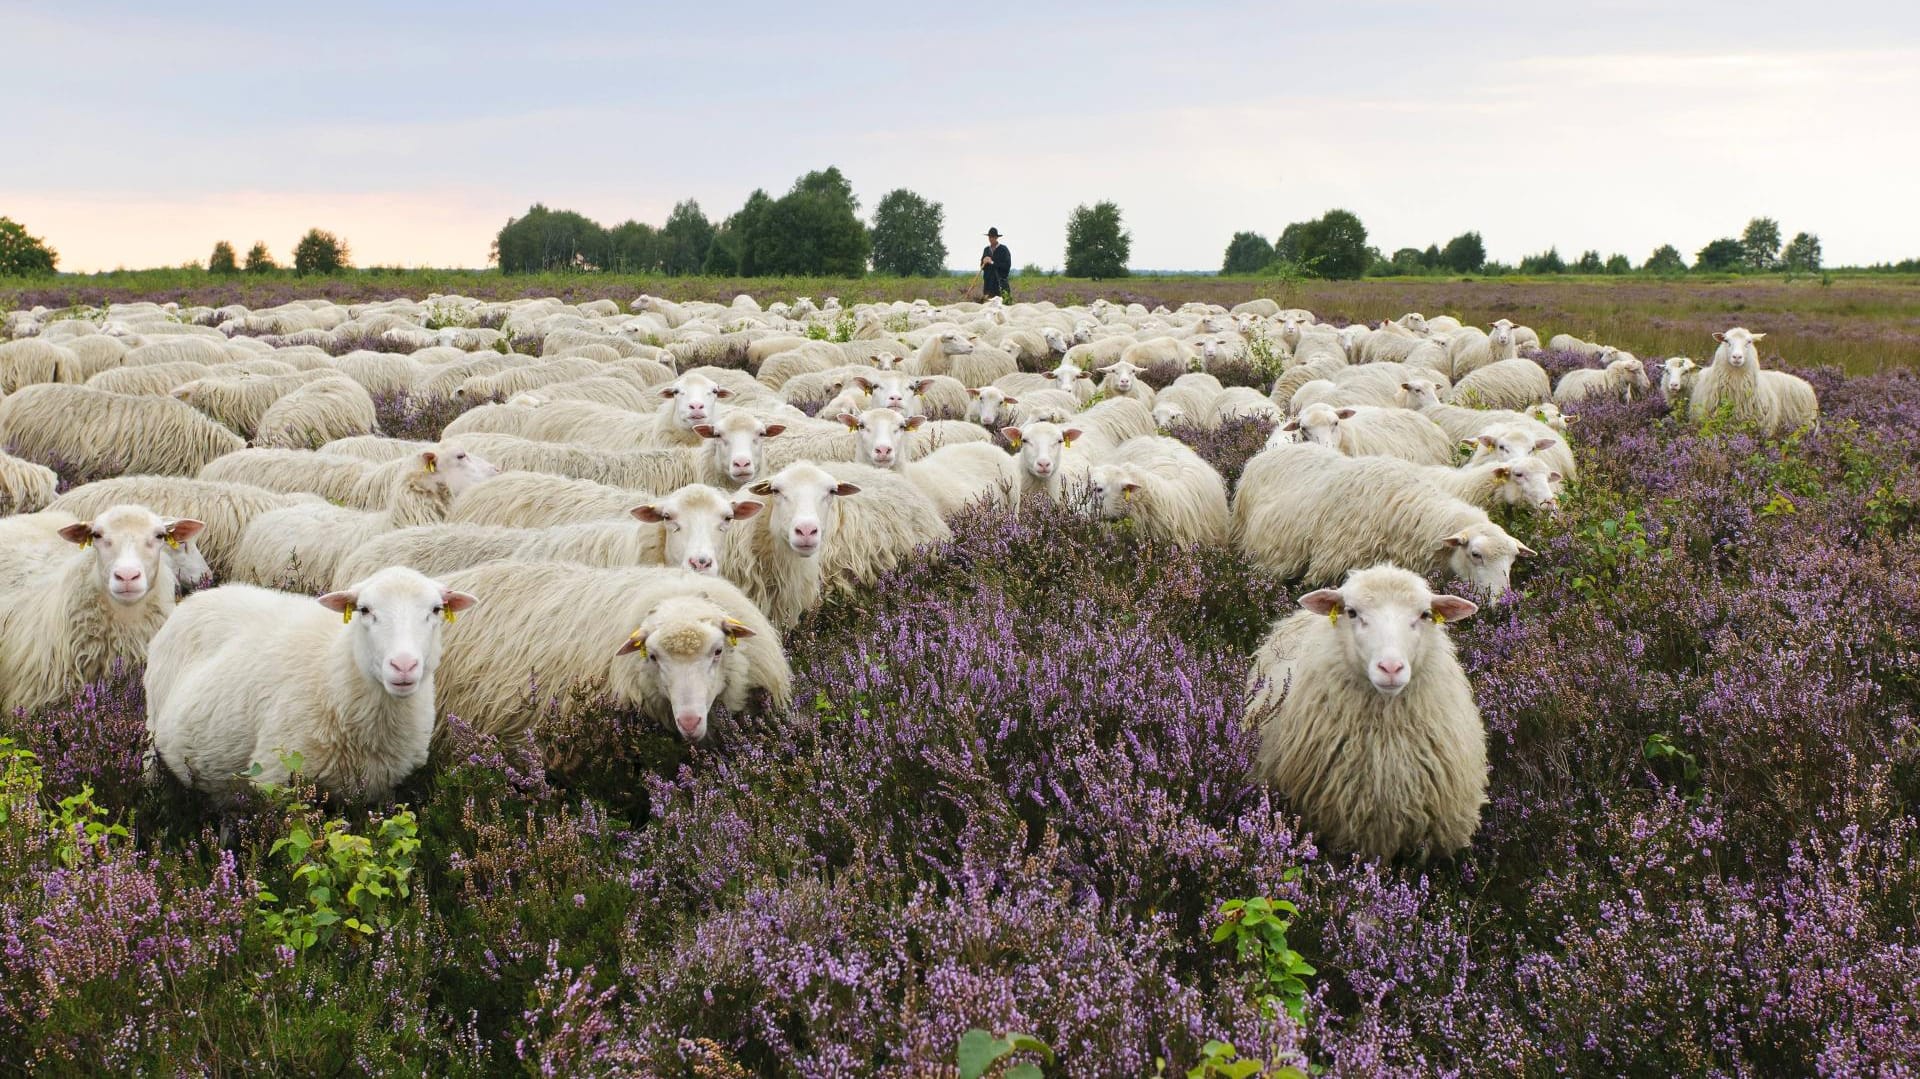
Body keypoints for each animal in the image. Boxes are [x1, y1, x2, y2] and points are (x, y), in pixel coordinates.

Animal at [140, 564, 476, 798]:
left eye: (436, 610)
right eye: (365, 610)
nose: (404, 665)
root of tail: (199, 595)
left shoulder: (379, 788)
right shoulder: (275, 779)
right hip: (153, 735)